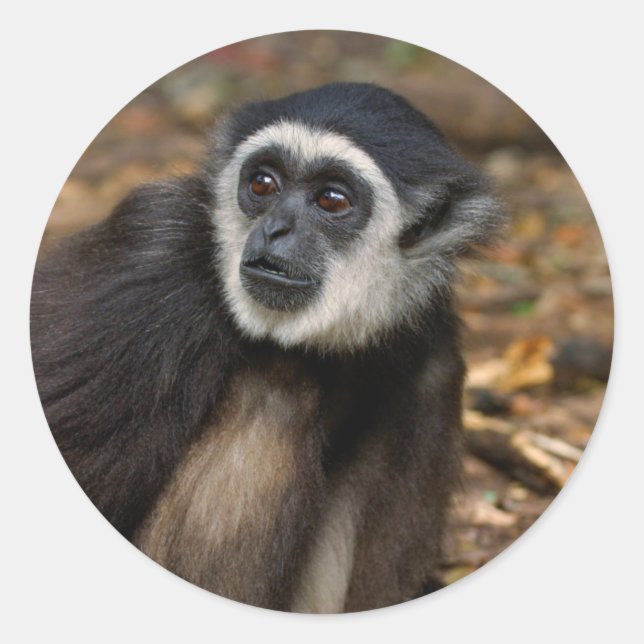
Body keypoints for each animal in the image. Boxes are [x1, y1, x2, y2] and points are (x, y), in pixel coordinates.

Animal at [31, 82, 503, 613]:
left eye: (331, 199)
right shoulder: (153, 253)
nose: (276, 229)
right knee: (273, 387)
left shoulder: (422, 315)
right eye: (262, 184)